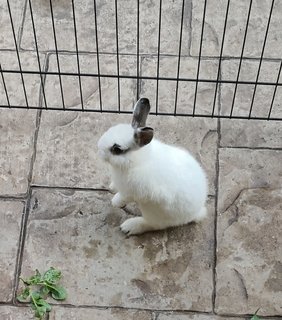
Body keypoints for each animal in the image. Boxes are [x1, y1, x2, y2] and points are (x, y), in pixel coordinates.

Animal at [98, 97, 208, 235]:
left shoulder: (133, 192)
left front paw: (115, 202)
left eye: (117, 150)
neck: (136, 161)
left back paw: (130, 226)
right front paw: (112, 187)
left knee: (154, 225)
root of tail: (197, 212)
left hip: (151, 211)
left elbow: (123, 197)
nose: (99, 151)